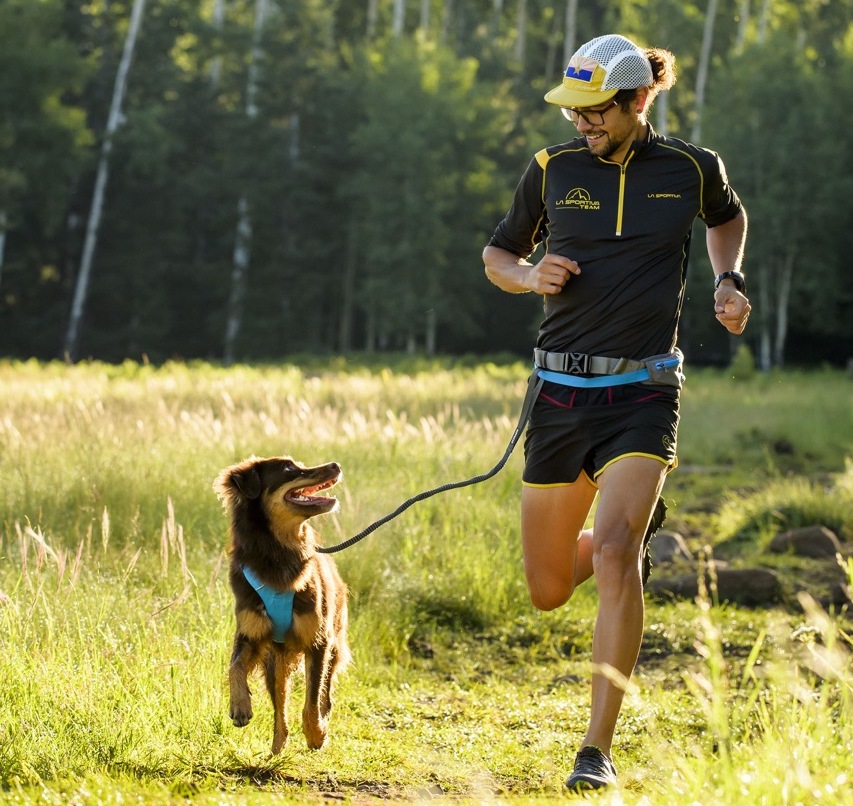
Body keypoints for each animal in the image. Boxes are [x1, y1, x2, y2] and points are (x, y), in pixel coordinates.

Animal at [215, 458, 352, 756]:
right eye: (289, 469)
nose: (335, 464)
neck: (278, 551)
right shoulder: (251, 633)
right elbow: (234, 666)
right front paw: (240, 706)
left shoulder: (319, 640)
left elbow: (312, 698)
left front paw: (316, 734)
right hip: (274, 659)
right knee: (280, 701)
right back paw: (278, 743)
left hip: (334, 642)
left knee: (325, 692)